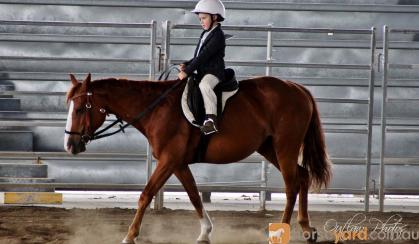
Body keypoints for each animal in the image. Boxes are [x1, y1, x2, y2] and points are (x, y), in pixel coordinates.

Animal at [65, 73, 332, 243]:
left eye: (79, 109)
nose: (70, 145)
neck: (157, 109)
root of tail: (296, 88)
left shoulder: (168, 161)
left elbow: (146, 195)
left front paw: (129, 236)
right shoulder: (178, 164)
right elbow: (194, 196)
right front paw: (205, 233)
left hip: (285, 146)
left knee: (291, 185)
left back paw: (280, 231)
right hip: (269, 148)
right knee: (302, 177)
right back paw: (306, 229)